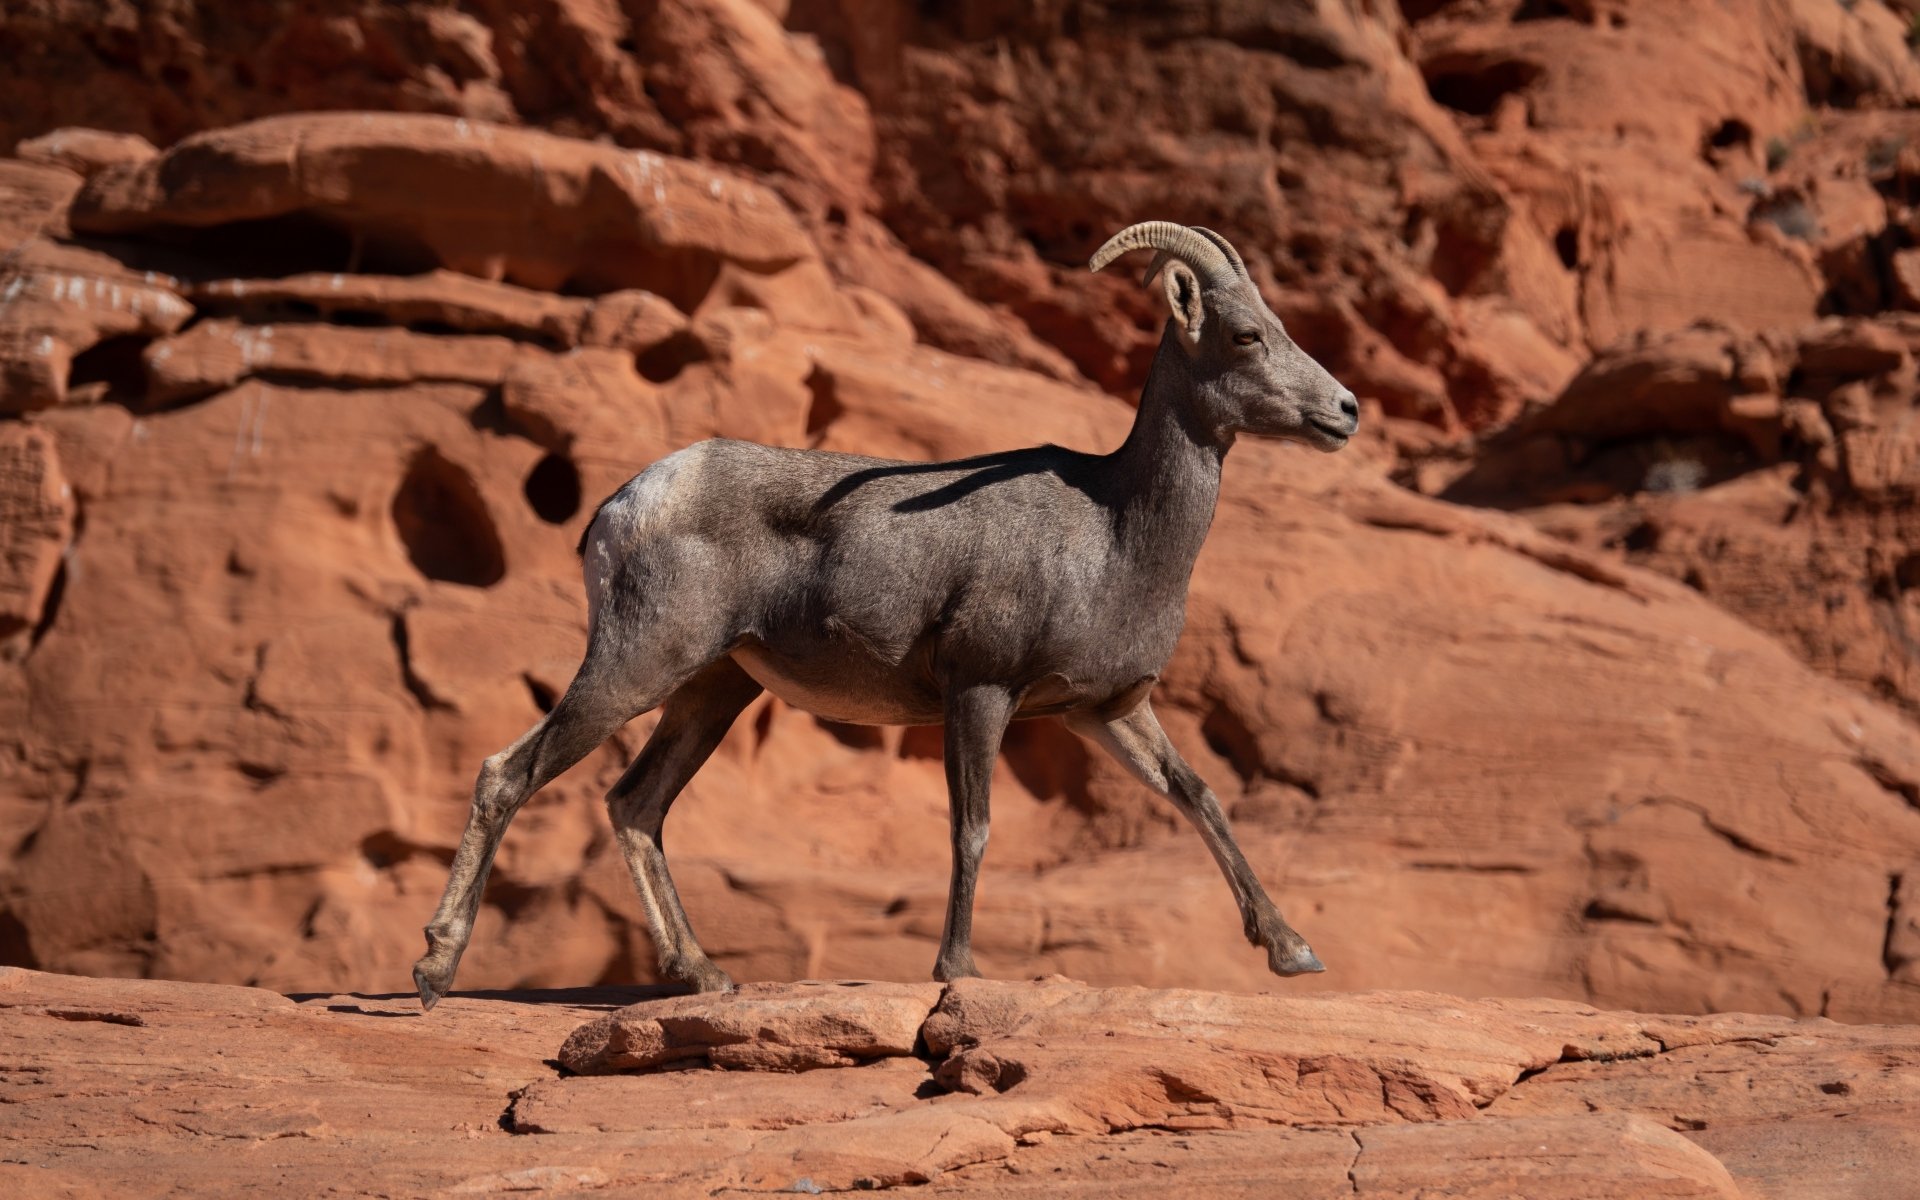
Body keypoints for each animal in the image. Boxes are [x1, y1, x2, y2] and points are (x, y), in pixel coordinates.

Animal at [411, 221, 1360, 1008]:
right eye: (1246, 334)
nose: (1345, 410)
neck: (1115, 532)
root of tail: (624, 503)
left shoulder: (1104, 711)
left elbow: (1200, 796)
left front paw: (1293, 951)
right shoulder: (981, 693)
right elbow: (973, 827)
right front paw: (957, 970)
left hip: (712, 690)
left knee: (635, 806)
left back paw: (705, 975)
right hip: (636, 665)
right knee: (508, 775)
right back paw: (434, 970)